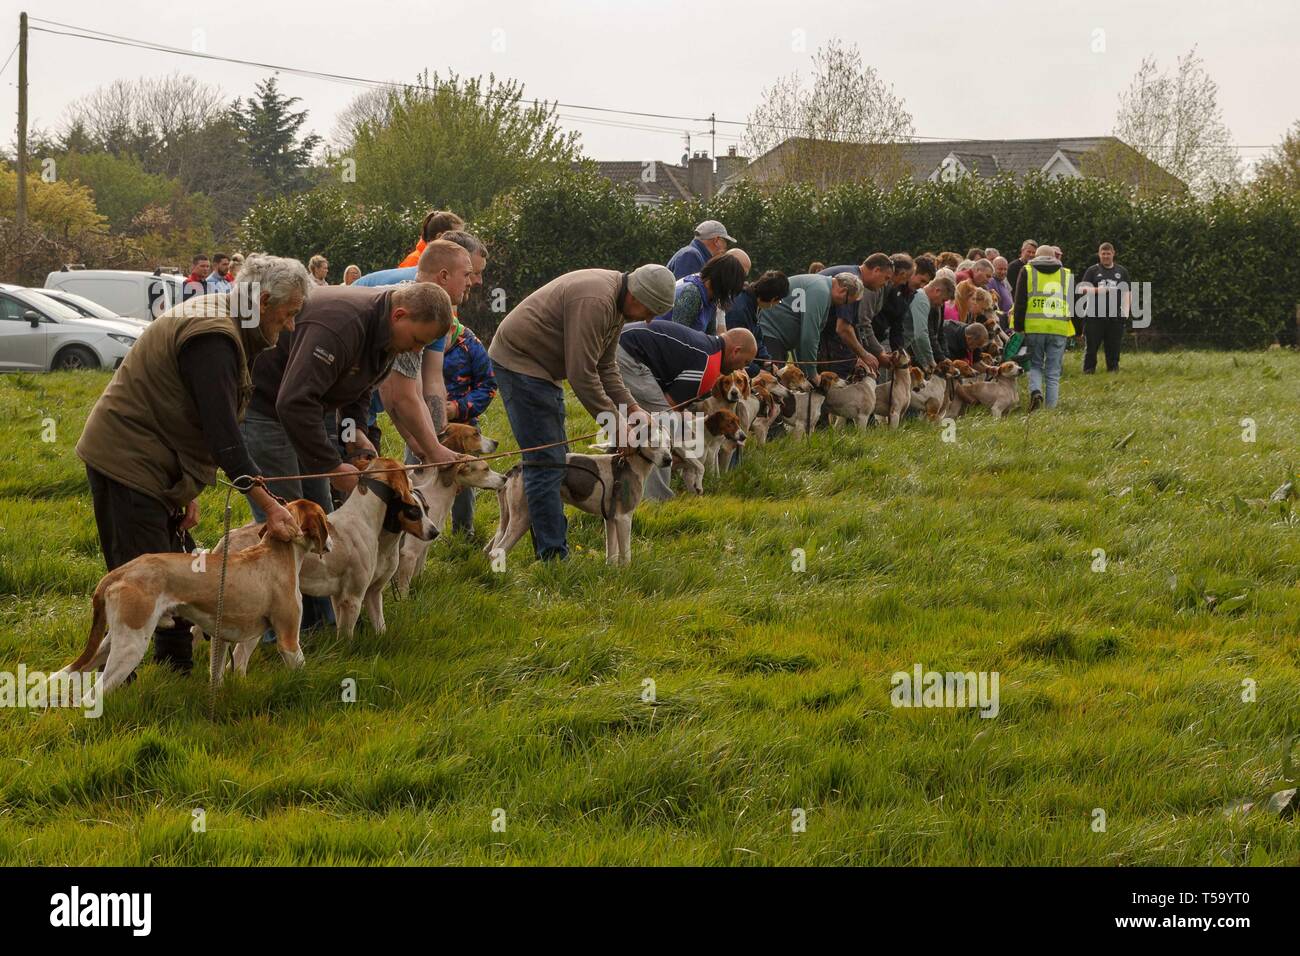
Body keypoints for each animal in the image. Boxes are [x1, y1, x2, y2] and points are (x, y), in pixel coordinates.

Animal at [52, 496, 330, 707]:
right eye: (326, 520)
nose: (330, 542)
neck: (275, 552)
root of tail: (121, 571)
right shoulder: (288, 640)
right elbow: (301, 671)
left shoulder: (221, 637)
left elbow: (217, 675)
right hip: (130, 647)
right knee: (92, 695)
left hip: (111, 642)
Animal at [486, 434, 670, 567]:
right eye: (653, 442)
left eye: (669, 443)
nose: (669, 460)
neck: (630, 464)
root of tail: (516, 468)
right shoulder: (624, 517)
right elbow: (626, 554)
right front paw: (626, 572)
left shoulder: (611, 519)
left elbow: (612, 552)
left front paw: (611, 571)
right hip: (522, 518)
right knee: (498, 550)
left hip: (507, 520)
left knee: (491, 549)